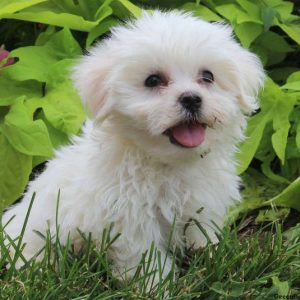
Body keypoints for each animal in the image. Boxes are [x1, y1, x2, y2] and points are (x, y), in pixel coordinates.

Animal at [3, 11, 264, 278]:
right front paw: (156, 283)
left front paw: (210, 256)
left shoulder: (203, 204)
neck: (168, 163)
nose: (191, 98)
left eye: (208, 77)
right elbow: (145, 257)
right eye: (153, 80)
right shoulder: (130, 217)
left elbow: (201, 233)